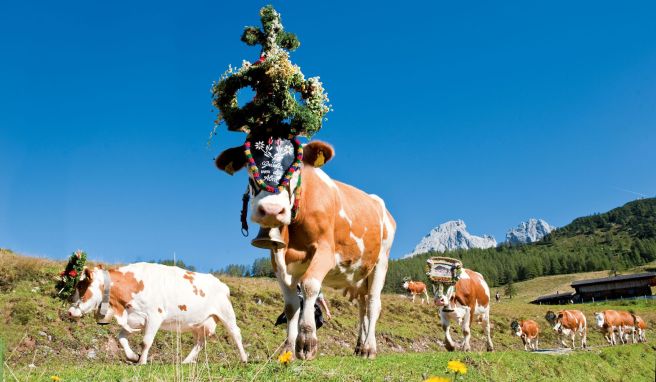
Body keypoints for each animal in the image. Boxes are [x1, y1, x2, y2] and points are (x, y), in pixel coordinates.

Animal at [68, 262, 249, 364]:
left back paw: (244, 358)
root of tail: (221, 283)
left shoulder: (154, 316)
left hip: (226, 313)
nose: (70, 311)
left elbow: (146, 342)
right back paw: (186, 361)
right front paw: (133, 356)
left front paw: (142, 361)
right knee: (200, 341)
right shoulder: (134, 318)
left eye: (81, 286)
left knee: (236, 334)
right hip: (199, 323)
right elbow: (121, 338)